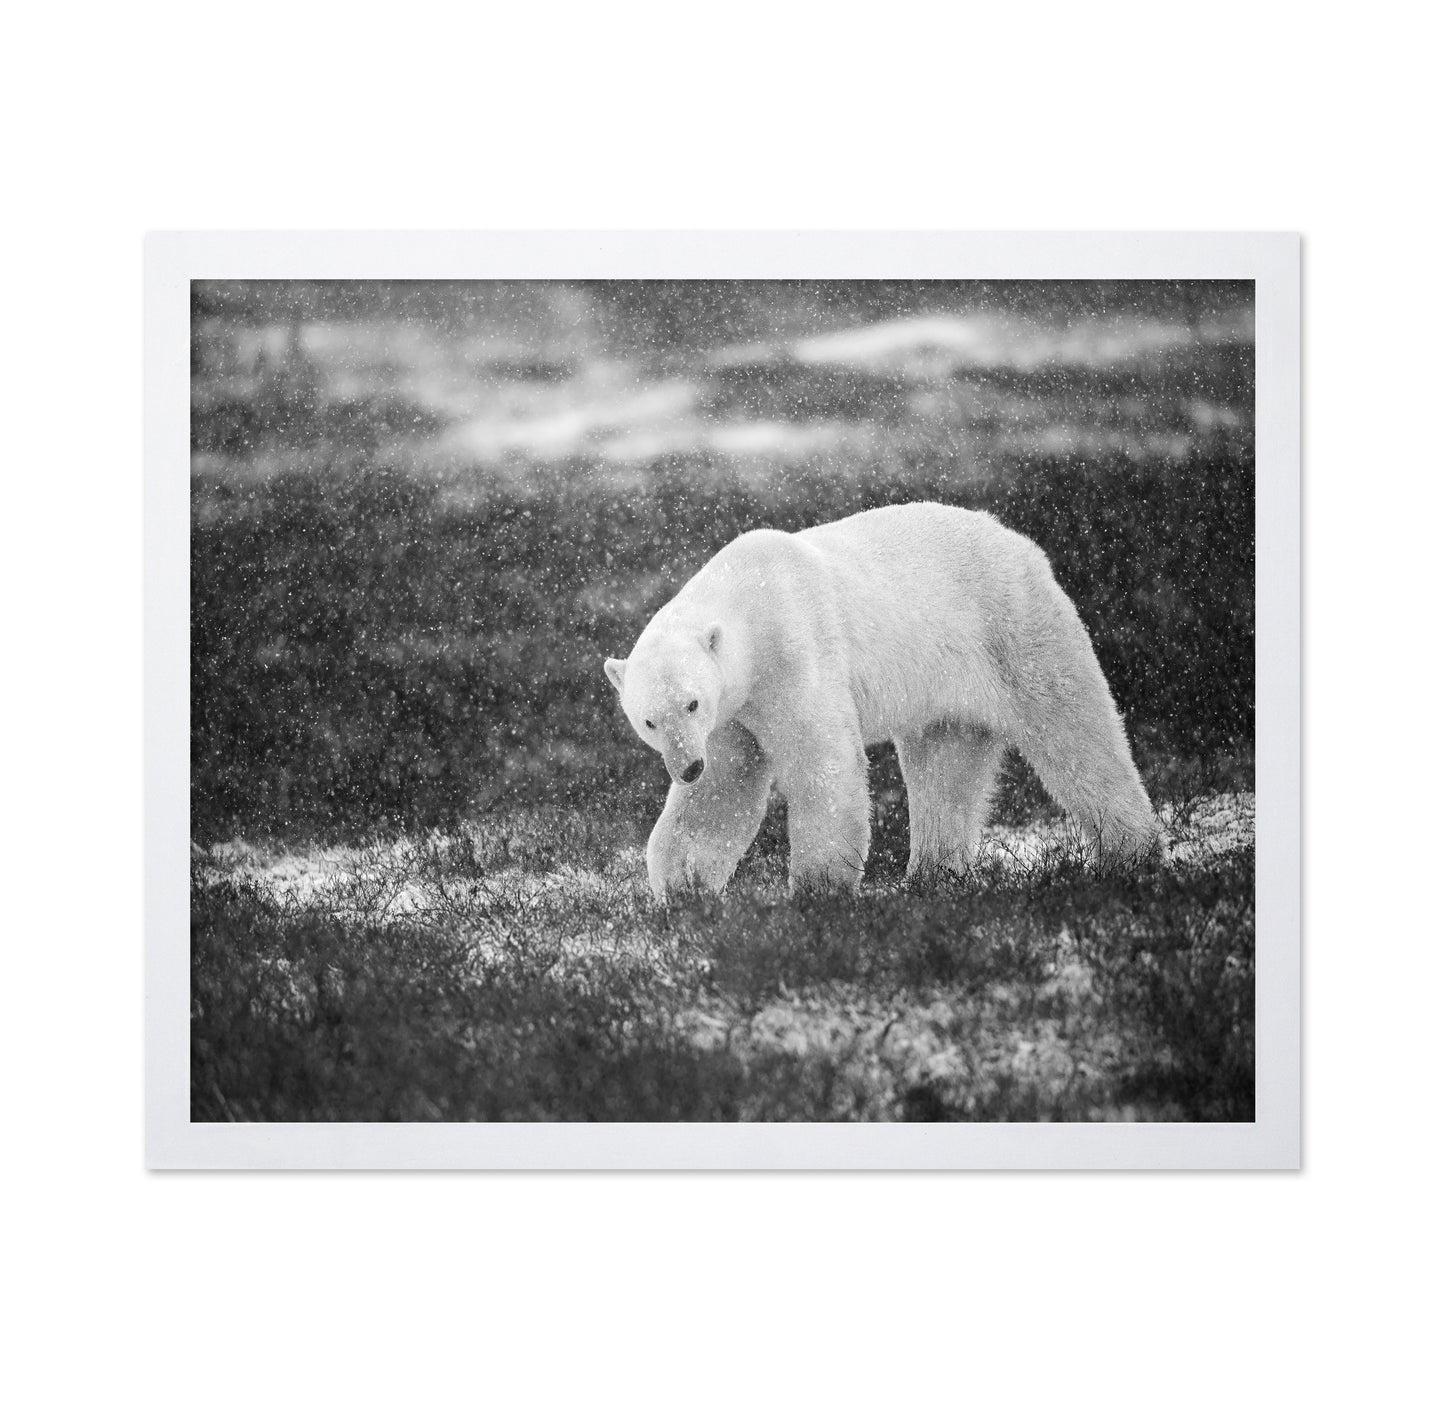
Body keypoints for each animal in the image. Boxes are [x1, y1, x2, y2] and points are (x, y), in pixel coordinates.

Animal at [603, 501, 1160, 899]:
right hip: (945, 686)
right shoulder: (733, 716)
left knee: (1074, 731)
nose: (686, 767)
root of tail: (1020, 542)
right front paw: (682, 888)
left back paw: (1130, 853)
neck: (748, 600)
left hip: (1014, 629)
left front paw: (819, 889)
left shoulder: (794, 653)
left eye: (691, 704)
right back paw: (932, 876)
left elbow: (822, 762)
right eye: (649, 721)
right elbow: (723, 792)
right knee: (947, 768)